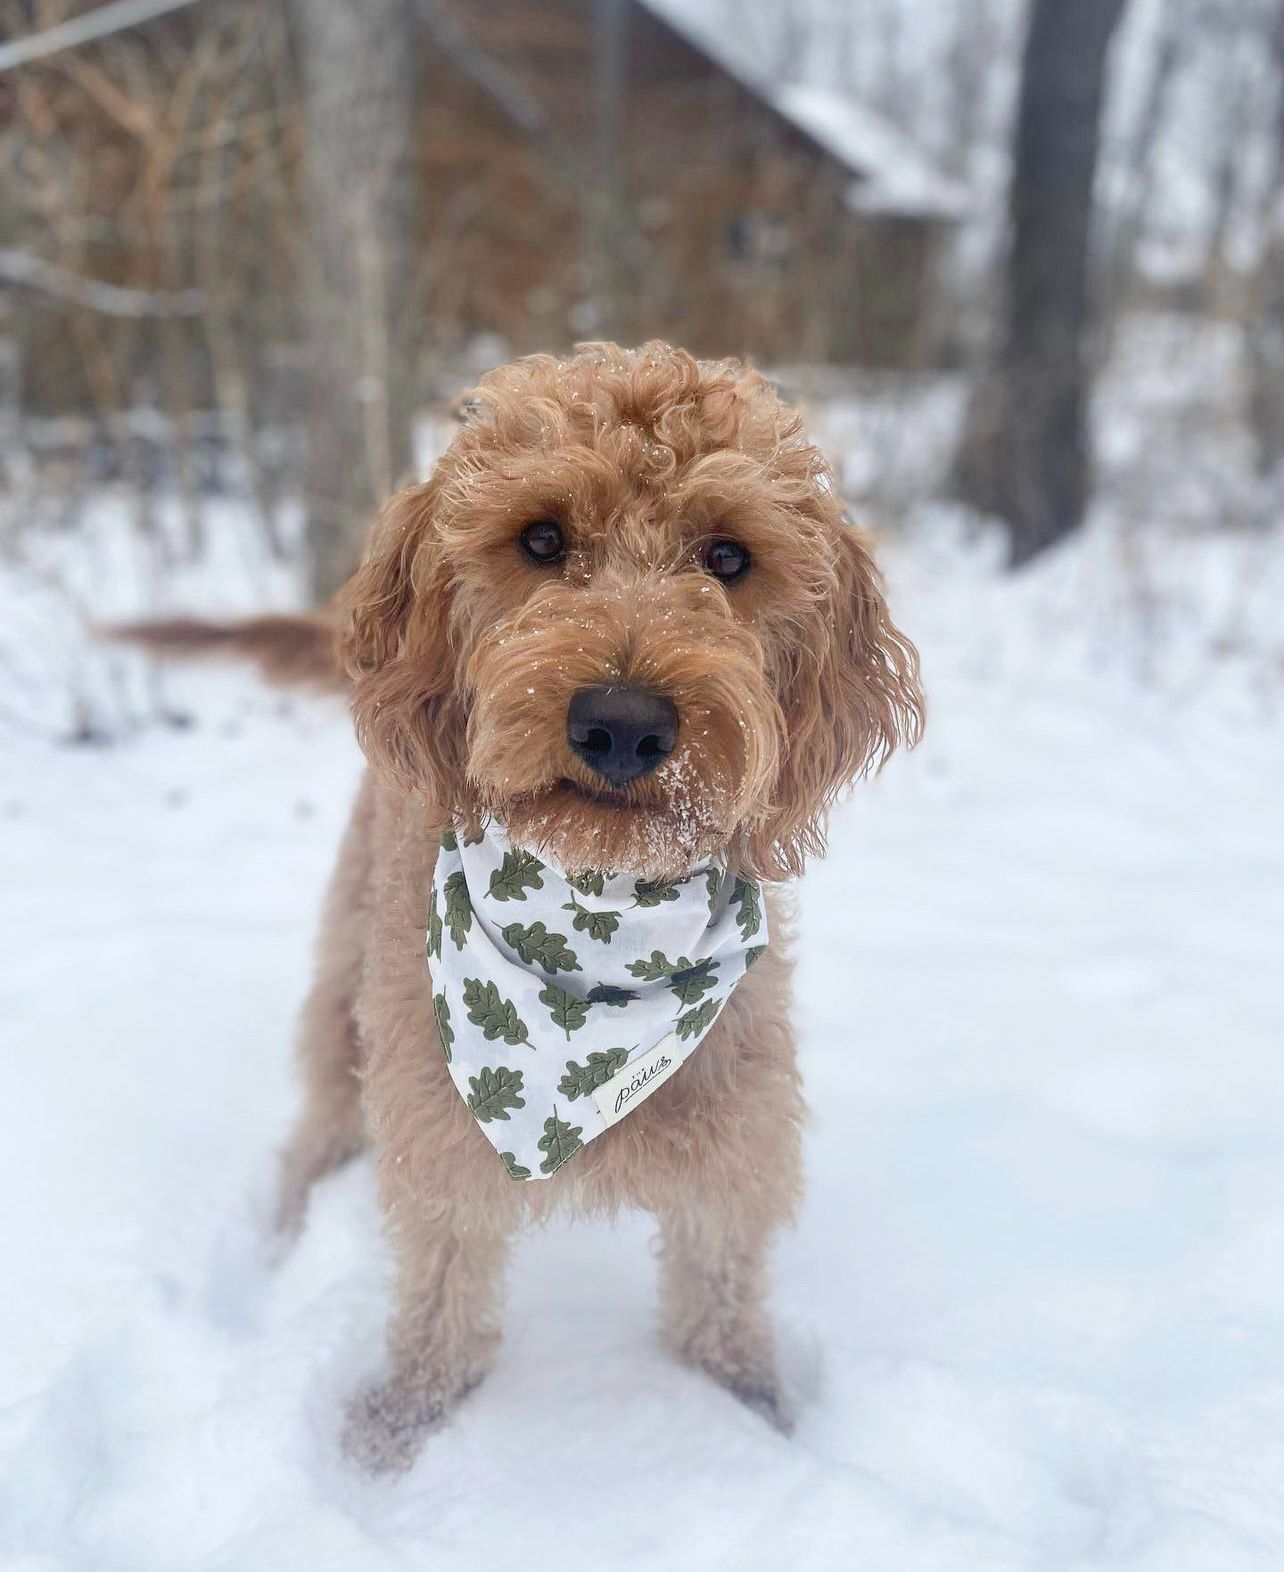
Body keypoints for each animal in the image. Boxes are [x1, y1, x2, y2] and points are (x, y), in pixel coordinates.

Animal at [124, 337, 924, 1465]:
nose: (623, 724)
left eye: (729, 557)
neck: (598, 933)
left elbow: (718, 1301)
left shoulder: (737, 1129)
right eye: (541, 538)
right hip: (347, 980)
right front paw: (394, 1433)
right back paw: (283, 1232)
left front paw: (751, 1417)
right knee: (319, 1117)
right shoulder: (439, 1130)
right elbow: (442, 1304)